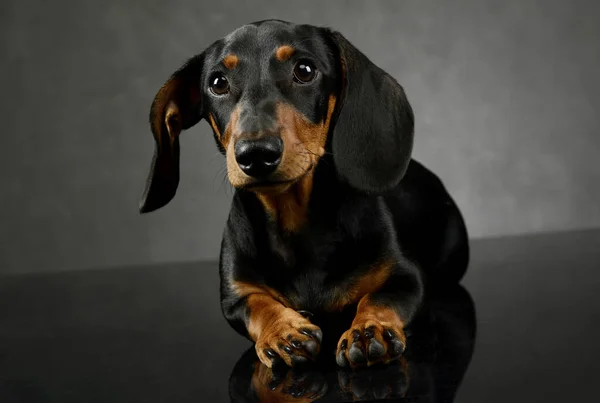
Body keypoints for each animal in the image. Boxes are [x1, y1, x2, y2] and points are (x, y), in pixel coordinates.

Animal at [139, 20, 468, 370]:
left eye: (305, 70)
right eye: (217, 83)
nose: (256, 154)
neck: (295, 221)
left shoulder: (406, 277)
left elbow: (379, 298)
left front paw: (369, 329)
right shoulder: (234, 295)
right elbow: (256, 304)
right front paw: (283, 330)